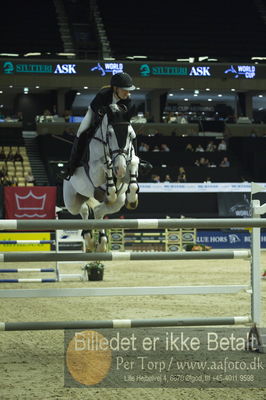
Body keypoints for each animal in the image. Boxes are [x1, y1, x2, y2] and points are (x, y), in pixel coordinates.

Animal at [63, 104, 140, 252]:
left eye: (131, 135)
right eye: (109, 134)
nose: (120, 169)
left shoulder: (127, 167)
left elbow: (133, 163)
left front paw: (132, 200)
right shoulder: (94, 174)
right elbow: (105, 163)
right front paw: (110, 191)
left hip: (118, 202)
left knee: (98, 211)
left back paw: (102, 243)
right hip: (71, 201)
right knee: (83, 209)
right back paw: (89, 240)